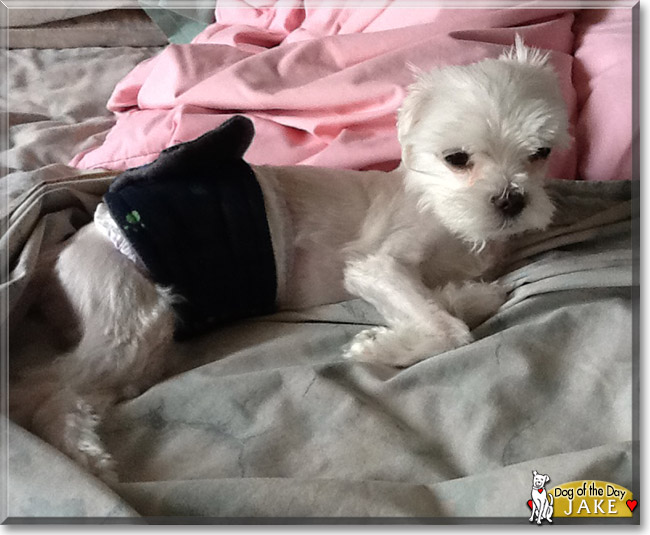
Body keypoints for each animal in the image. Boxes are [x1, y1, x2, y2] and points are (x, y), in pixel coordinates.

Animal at [8, 38, 568, 482]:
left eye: (540, 153)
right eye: (457, 159)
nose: (511, 200)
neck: (451, 219)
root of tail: (63, 250)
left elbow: (460, 300)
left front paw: (459, 299)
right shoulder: (377, 262)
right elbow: (449, 329)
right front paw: (380, 346)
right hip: (133, 320)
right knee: (43, 389)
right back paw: (84, 453)